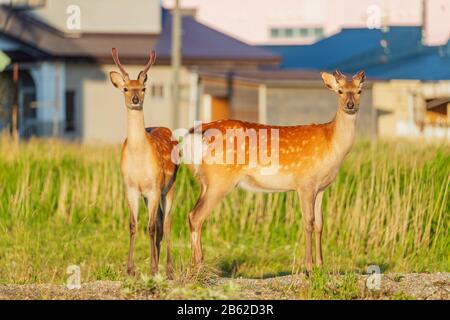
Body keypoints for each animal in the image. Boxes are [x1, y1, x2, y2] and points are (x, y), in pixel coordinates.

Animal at [110, 47, 178, 278]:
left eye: (143, 88)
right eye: (125, 88)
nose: (135, 99)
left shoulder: (154, 187)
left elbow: (151, 228)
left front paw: (153, 268)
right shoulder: (130, 187)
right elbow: (133, 225)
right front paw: (130, 269)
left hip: (169, 187)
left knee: (166, 223)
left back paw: (167, 268)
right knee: (158, 222)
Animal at [182, 69, 366, 272]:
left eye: (359, 90)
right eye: (340, 91)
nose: (350, 105)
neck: (331, 144)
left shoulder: (321, 188)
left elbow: (320, 224)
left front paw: (321, 265)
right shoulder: (305, 183)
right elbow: (308, 223)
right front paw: (308, 267)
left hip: (205, 182)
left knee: (192, 215)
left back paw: (197, 264)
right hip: (219, 180)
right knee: (196, 216)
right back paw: (198, 266)